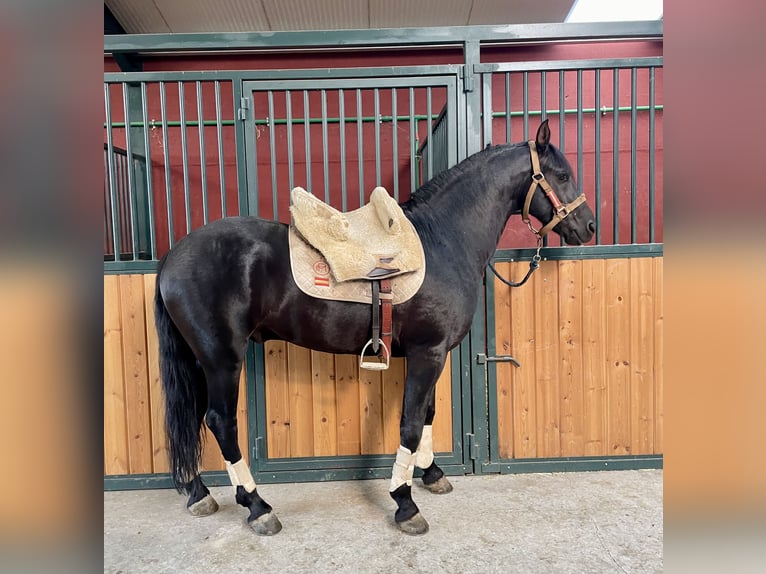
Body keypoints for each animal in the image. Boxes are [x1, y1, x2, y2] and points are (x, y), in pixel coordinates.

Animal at [153, 119, 596, 536]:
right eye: (561, 174)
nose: (589, 227)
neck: (444, 241)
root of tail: (174, 256)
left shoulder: (430, 354)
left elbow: (428, 413)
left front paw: (432, 475)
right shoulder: (428, 353)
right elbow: (411, 423)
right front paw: (405, 503)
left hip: (201, 359)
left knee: (192, 416)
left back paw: (199, 493)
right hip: (222, 358)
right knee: (219, 420)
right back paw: (258, 507)